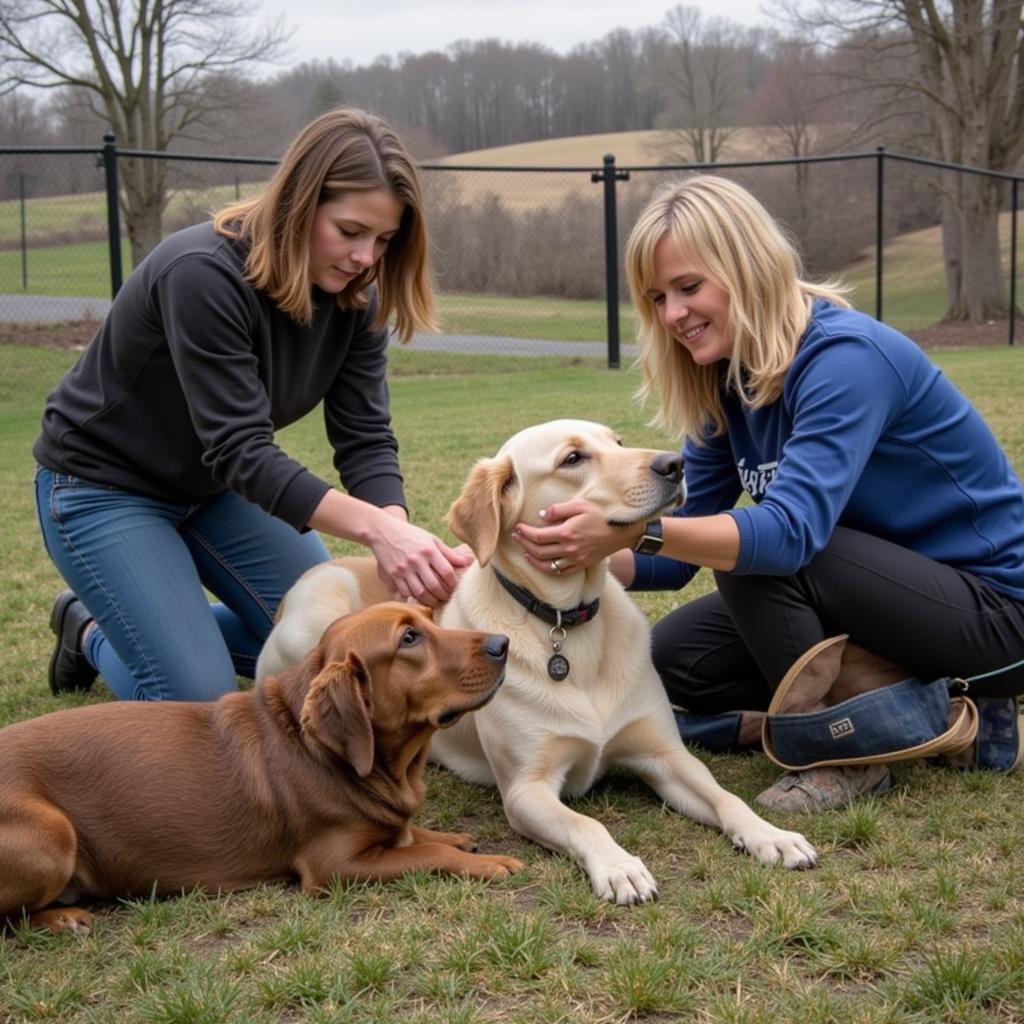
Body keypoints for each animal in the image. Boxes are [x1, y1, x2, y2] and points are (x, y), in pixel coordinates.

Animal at [2, 602, 520, 933]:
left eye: (431, 619)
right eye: (409, 638)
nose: (504, 643)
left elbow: (414, 835)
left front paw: (453, 836)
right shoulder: (334, 865)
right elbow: (428, 854)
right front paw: (486, 861)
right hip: (52, 832)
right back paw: (62, 917)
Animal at [256, 419, 815, 901]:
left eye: (616, 441)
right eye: (573, 458)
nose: (674, 463)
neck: (568, 623)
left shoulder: (667, 755)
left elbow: (726, 797)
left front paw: (771, 835)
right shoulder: (527, 790)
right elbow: (585, 822)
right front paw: (619, 865)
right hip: (317, 615)